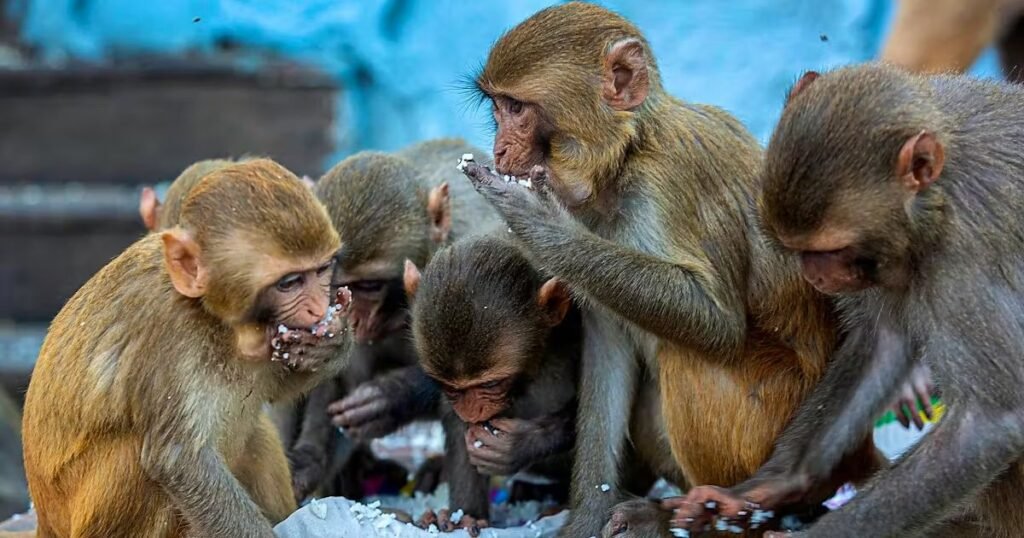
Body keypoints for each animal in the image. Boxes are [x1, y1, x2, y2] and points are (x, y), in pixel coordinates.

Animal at [22, 159, 351, 537]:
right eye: (290, 283)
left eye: (321, 270)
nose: (317, 308)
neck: (212, 318)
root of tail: (46, 523)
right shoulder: (166, 334)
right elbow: (179, 458)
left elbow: (272, 390)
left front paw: (332, 344)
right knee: (135, 459)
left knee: (257, 436)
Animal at [458, 4, 882, 536]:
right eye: (496, 108)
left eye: (516, 109)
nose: (499, 149)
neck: (625, 158)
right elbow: (609, 351)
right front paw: (585, 515)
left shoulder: (671, 180)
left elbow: (715, 321)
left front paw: (539, 223)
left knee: (690, 358)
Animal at [670, 63, 1024, 538]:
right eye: (795, 247)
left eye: (831, 249)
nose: (813, 275)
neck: (936, 195)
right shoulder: (894, 258)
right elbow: (881, 343)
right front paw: (771, 485)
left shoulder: (965, 252)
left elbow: (986, 424)